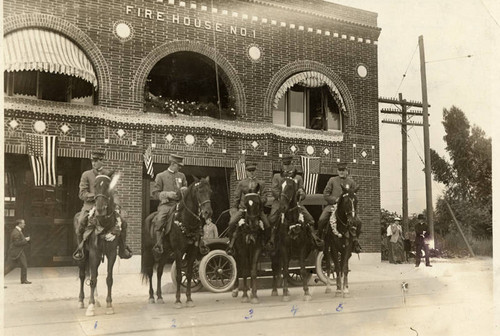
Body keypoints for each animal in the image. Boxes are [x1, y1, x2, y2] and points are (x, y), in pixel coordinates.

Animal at [73, 169, 122, 316]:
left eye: (108, 186)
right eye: (94, 185)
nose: (100, 210)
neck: (104, 224)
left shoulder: (111, 254)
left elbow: (109, 279)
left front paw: (109, 305)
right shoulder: (94, 253)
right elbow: (93, 279)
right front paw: (90, 306)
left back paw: (97, 300)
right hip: (83, 256)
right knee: (83, 276)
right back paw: (81, 301)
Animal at [141, 177, 213, 308]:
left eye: (210, 191)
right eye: (200, 191)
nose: (208, 212)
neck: (186, 221)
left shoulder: (192, 252)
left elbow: (189, 275)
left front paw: (189, 299)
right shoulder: (179, 252)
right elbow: (179, 276)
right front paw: (178, 300)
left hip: (165, 253)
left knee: (159, 272)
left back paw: (160, 297)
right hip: (149, 252)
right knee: (150, 272)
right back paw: (151, 297)